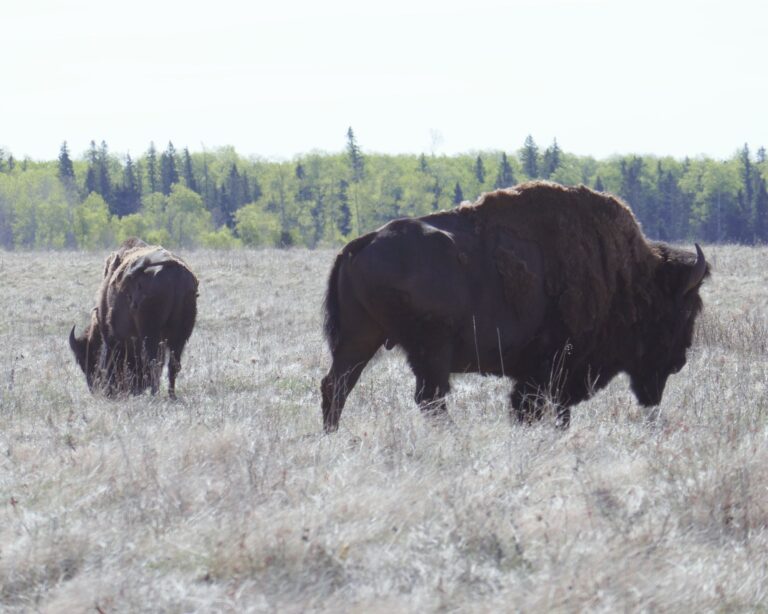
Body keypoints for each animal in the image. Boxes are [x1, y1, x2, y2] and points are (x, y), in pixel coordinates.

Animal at [69, 238, 198, 398]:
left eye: (88, 359)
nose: (96, 389)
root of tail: (174, 271)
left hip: (151, 334)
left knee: (154, 362)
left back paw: (154, 395)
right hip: (180, 335)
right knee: (173, 365)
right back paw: (171, 396)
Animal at [321, 181, 709, 431]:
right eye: (686, 310)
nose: (679, 361)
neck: (625, 279)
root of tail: (359, 244)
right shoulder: (549, 368)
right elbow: (536, 409)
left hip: (362, 337)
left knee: (336, 385)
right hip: (429, 348)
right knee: (429, 398)